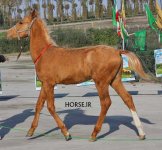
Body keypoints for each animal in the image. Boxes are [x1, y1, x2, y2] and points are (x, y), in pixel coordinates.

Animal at [7, 10, 149, 141]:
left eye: (20, 22)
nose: (7, 34)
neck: (44, 53)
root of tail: (117, 51)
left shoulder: (49, 84)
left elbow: (50, 107)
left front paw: (66, 133)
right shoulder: (44, 84)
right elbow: (38, 105)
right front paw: (30, 131)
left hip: (101, 82)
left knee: (106, 103)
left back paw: (94, 134)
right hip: (115, 81)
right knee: (128, 99)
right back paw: (141, 133)